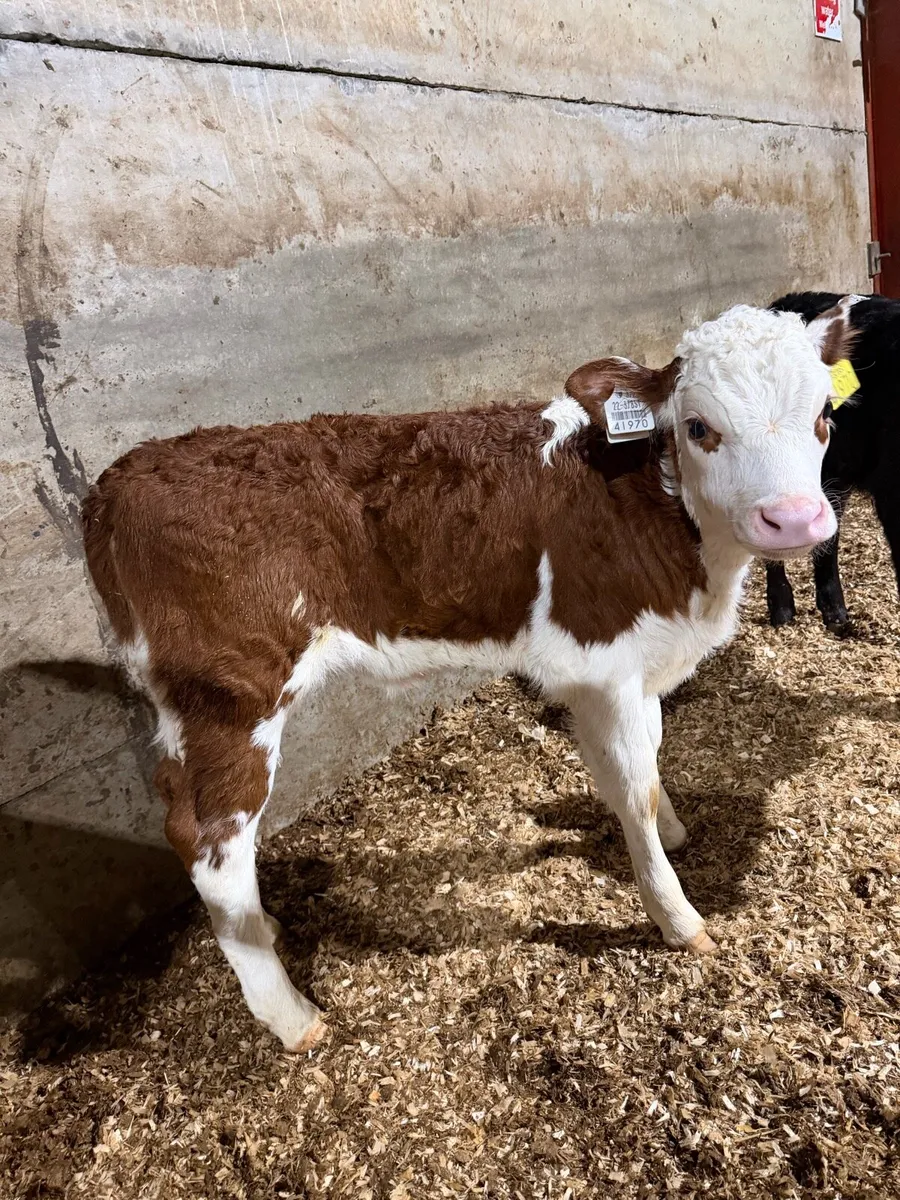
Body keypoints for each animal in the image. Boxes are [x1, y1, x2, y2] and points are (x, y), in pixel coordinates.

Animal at [81, 302, 849, 1050]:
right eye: (698, 427)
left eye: (824, 415)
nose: (794, 520)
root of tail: (123, 476)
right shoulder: (606, 663)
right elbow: (633, 785)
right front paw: (677, 916)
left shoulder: (615, 669)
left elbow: (638, 768)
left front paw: (674, 830)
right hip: (234, 694)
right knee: (211, 838)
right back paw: (291, 1015)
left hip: (187, 703)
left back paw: (262, 928)